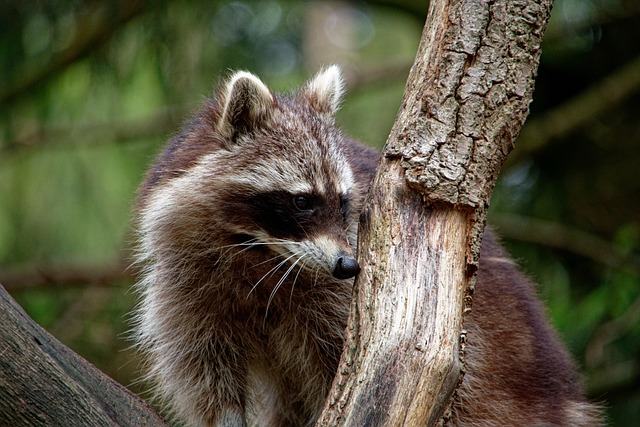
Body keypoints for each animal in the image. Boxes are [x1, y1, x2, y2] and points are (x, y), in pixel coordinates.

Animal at [132, 67, 604, 427]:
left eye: (343, 202)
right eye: (302, 201)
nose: (347, 265)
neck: (261, 254)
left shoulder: (337, 302)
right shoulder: (186, 285)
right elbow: (205, 374)